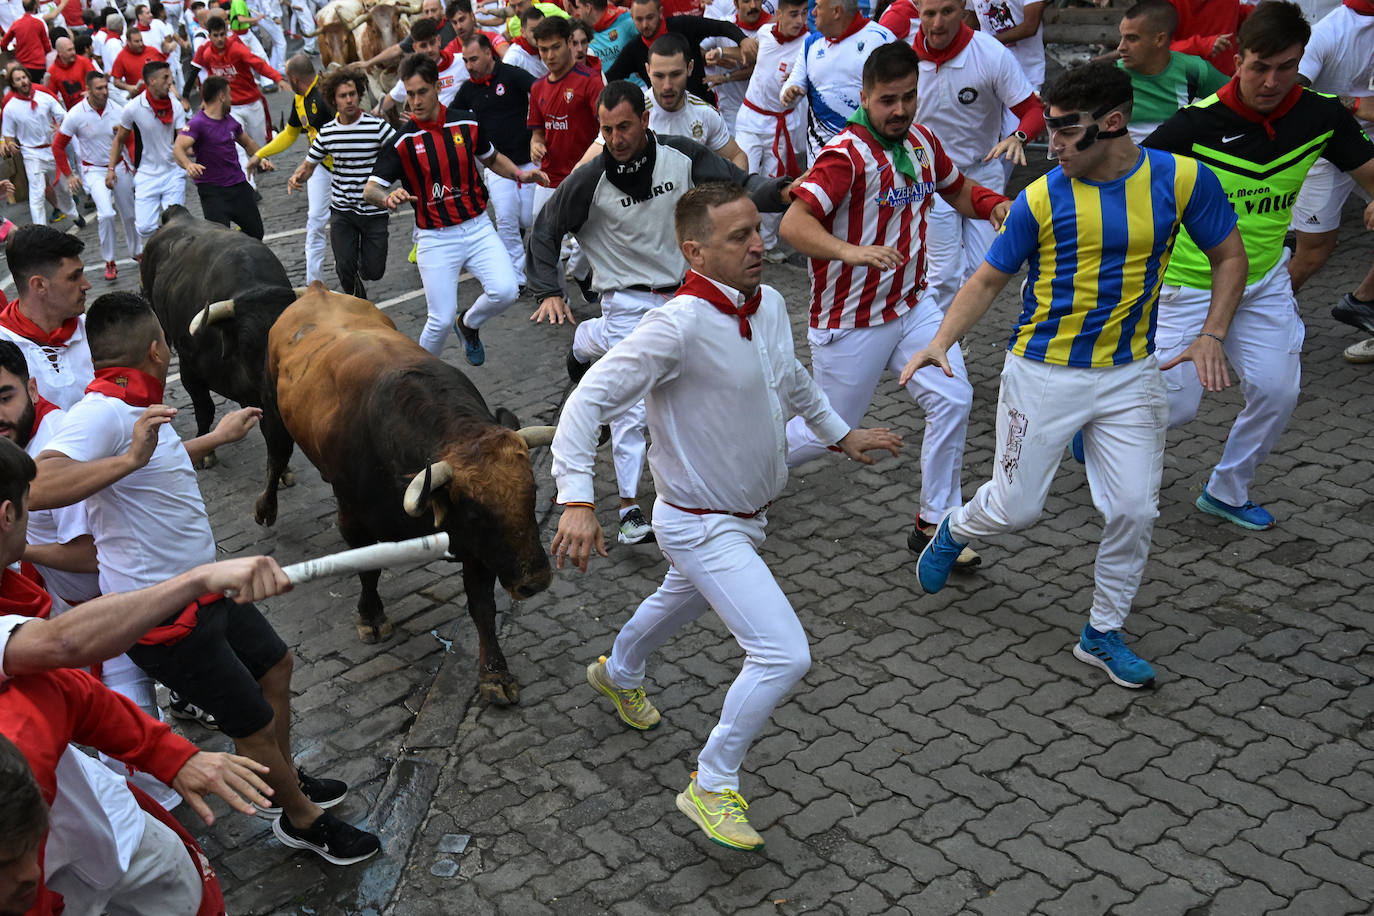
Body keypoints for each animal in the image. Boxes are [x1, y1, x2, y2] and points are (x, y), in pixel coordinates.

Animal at [258, 284, 552, 703]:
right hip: (272, 412)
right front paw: (371, 616)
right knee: (276, 456)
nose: (536, 581)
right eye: (477, 513)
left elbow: (482, 606)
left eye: (532, 493)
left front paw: (495, 674)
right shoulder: (354, 519)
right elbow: (368, 568)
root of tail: (317, 290)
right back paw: (266, 506)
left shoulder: (473, 546)